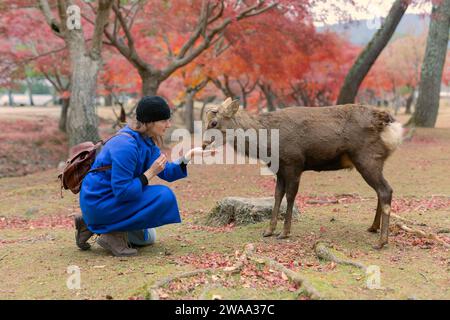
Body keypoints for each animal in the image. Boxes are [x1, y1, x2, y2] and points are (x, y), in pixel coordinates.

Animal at [202, 97, 402, 250]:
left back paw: (381, 242)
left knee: (385, 190)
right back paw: (373, 228)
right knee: (383, 190)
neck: (267, 146)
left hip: (367, 158)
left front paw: (284, 232)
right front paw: (268, 230)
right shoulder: (280, 169)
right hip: (375, 161)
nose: (203, 144)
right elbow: (277, 195)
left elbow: (290, 196)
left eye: (214, 122)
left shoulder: (294, 163)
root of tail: (390, 124)